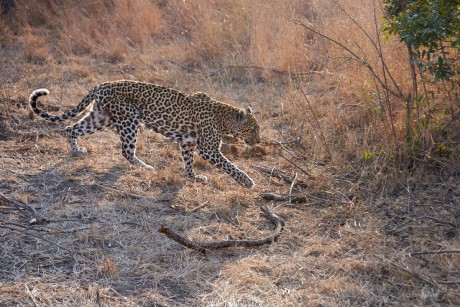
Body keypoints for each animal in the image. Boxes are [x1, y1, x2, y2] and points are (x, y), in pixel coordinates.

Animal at [28, 79, 260, 189]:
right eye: (254, 129)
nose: (258, 141)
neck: (225, 118)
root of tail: (101, 85)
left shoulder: (187, 142)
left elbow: (188, 161)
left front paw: (193, 177)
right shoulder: (208, 149)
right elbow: (230, 166)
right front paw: (247, 182)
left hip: (100, 117)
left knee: (70, 129)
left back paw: (77, 151)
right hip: (129, 119)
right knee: (126, 151)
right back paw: (146, 167)